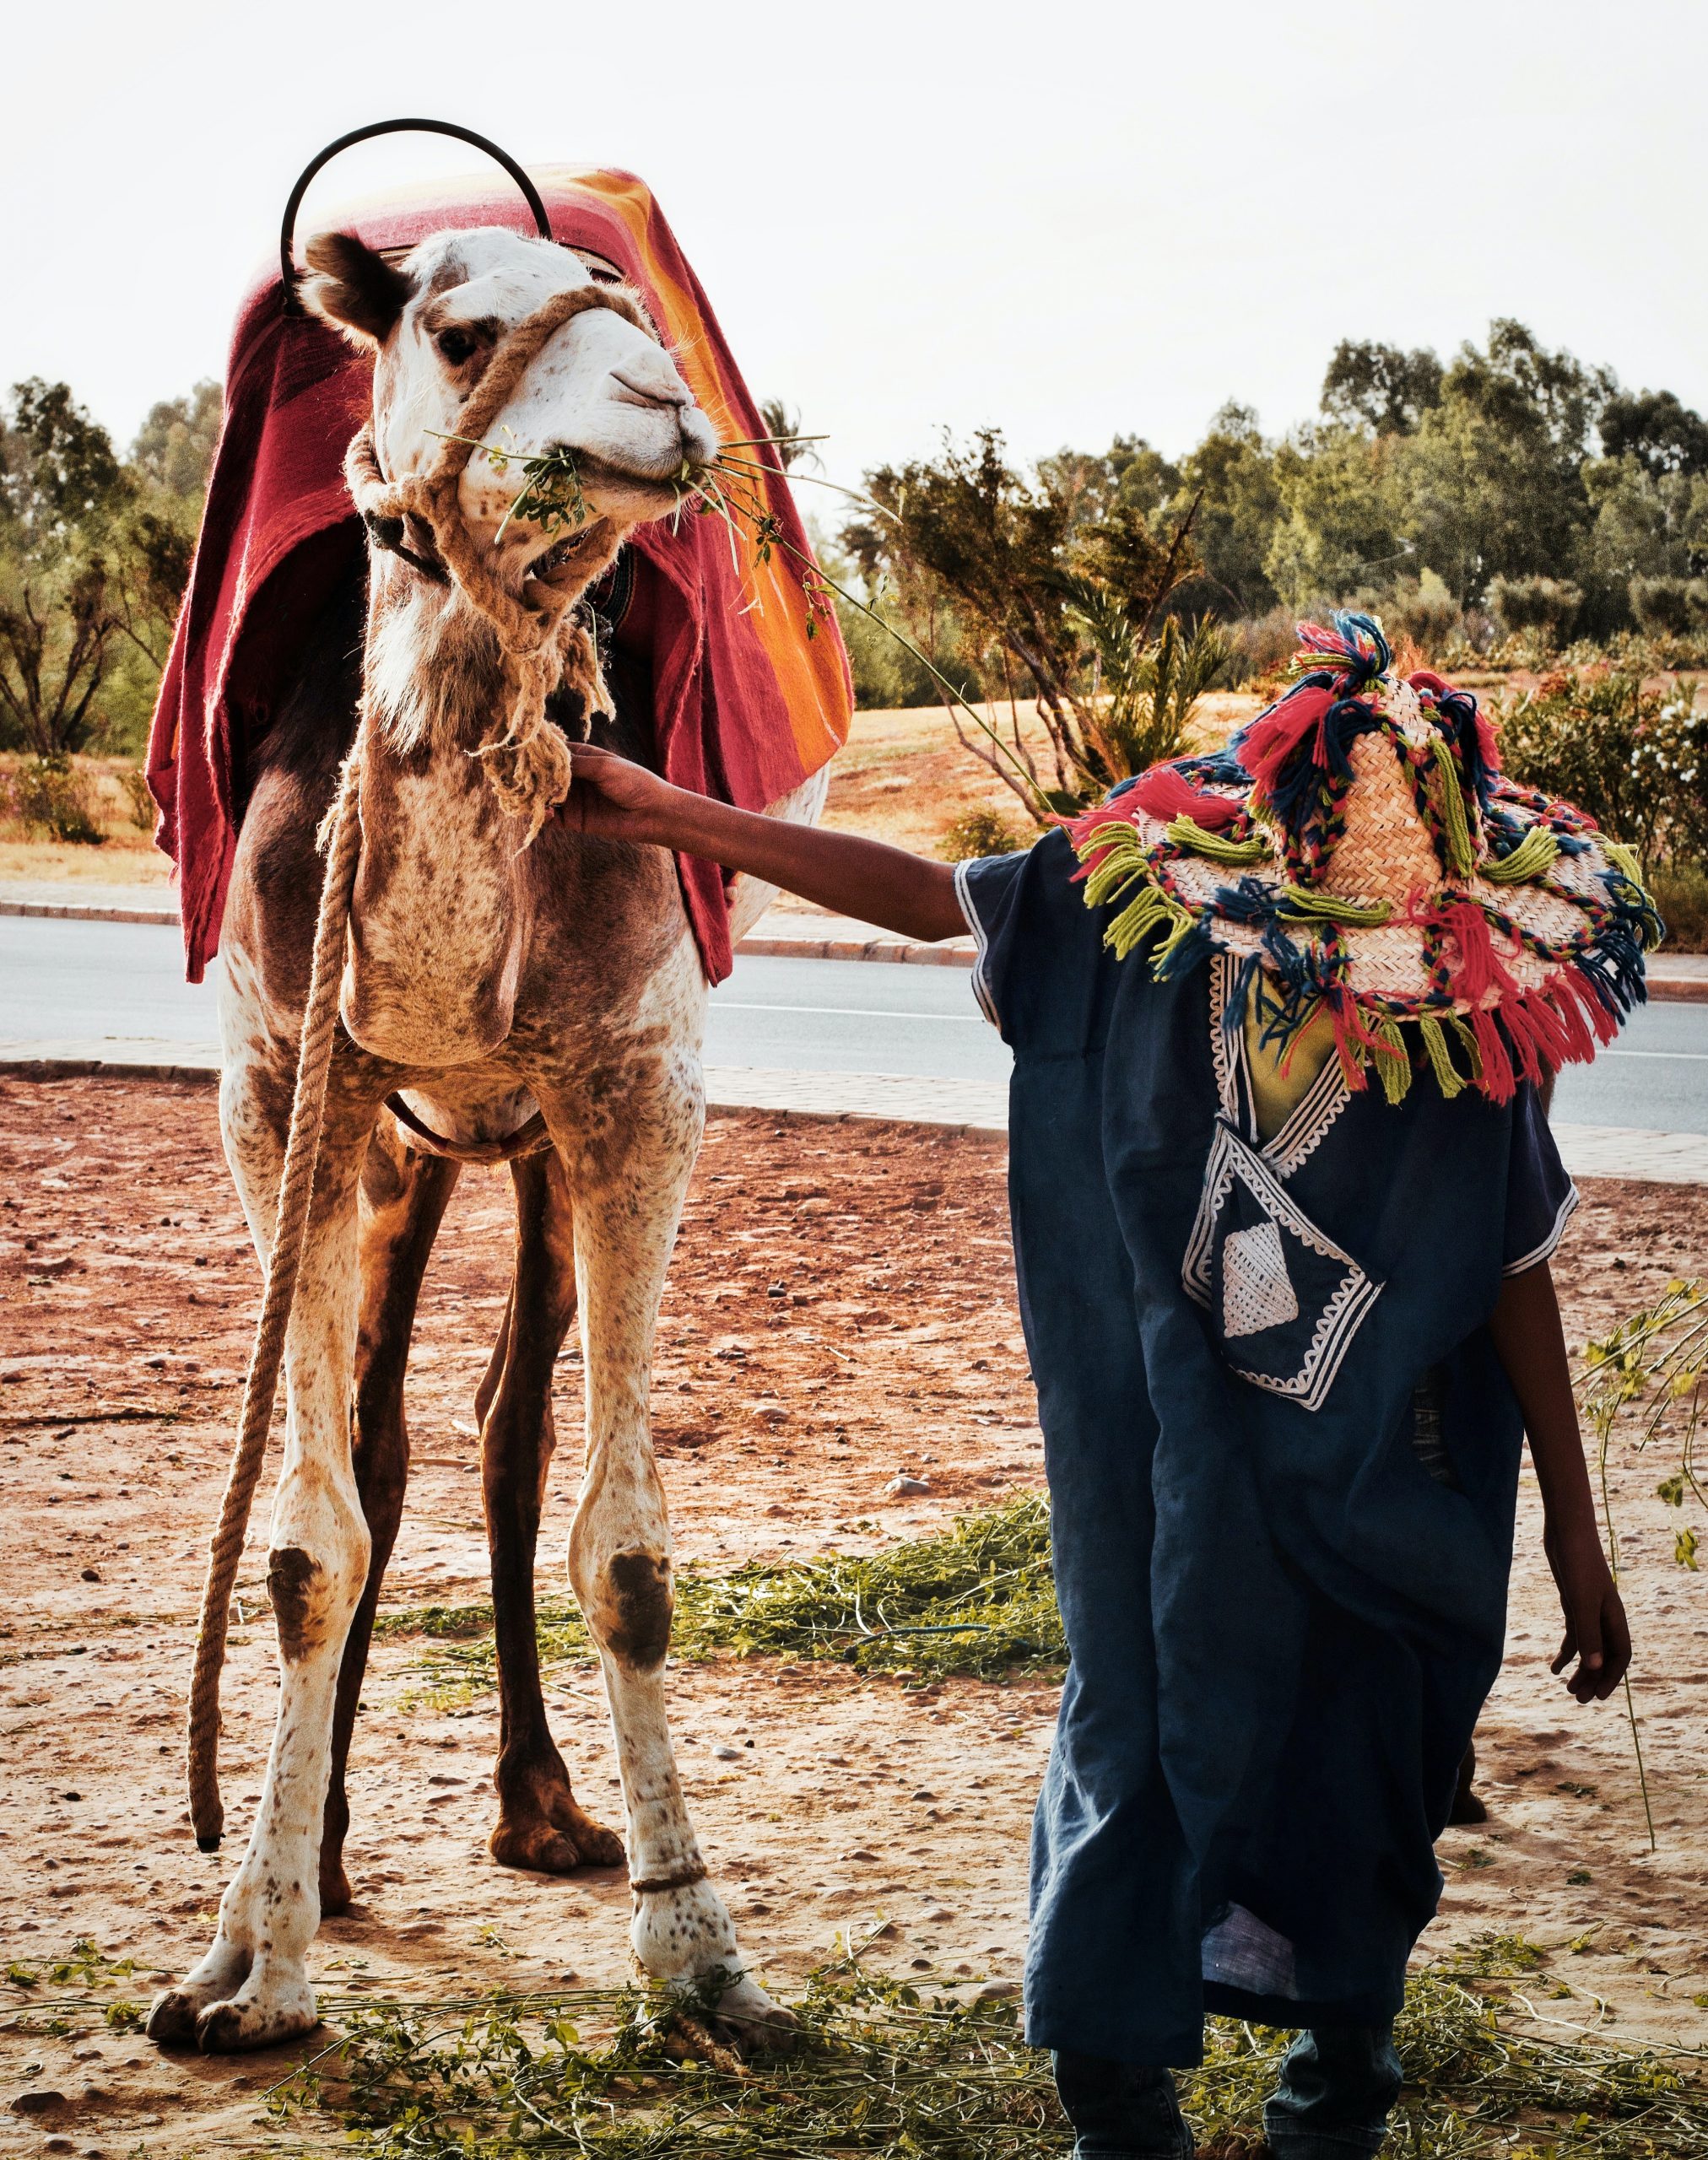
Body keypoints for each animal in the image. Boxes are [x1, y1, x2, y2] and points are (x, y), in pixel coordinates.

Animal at [143, 223, 816, 2056]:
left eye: (641, 316)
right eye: (457, 331)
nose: (666, 411)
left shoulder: (635, 1088)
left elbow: (628, 1550)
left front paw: (698, 1946)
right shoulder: (281, 1085)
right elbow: (308, 1541)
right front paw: (247, 1958)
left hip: (515, 1147)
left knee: (507, 1418)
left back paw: (543, 1805)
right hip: (399, 1150)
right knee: (379, 1440)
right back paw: (332, 1848)